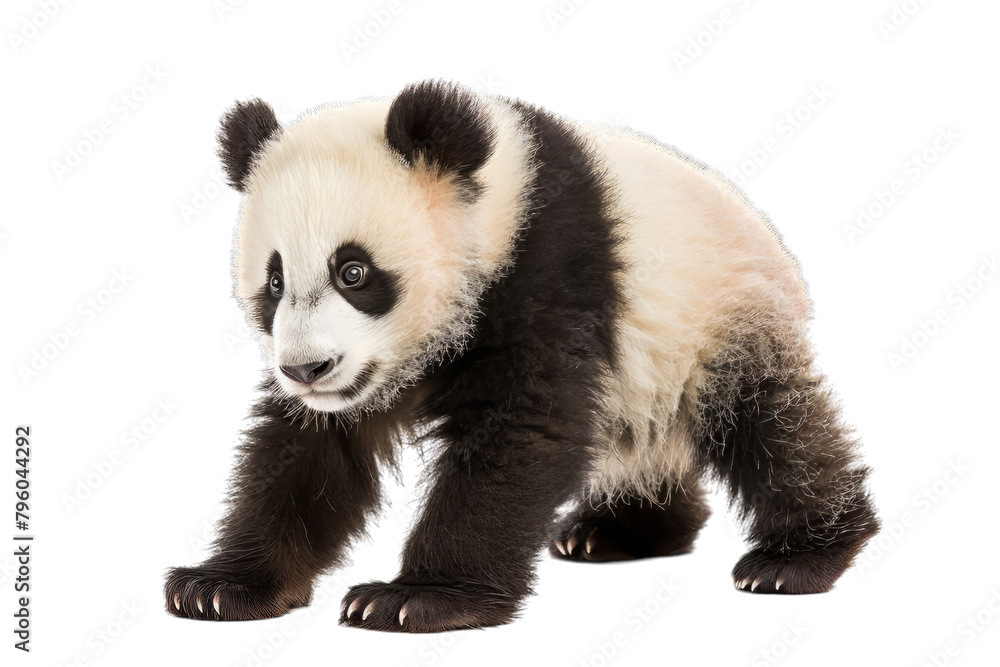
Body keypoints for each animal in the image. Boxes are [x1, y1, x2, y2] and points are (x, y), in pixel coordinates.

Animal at [165, 80, 879, 632]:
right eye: (274, 280)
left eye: (354, 272)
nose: (307, 371)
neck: (494, 212)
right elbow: (308, 455)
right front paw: (221, 585)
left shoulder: (547, 273)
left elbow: (521, 432)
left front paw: (417, 599)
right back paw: (619, 531)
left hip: (717, 322)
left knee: (773, 428)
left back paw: (799, 556)